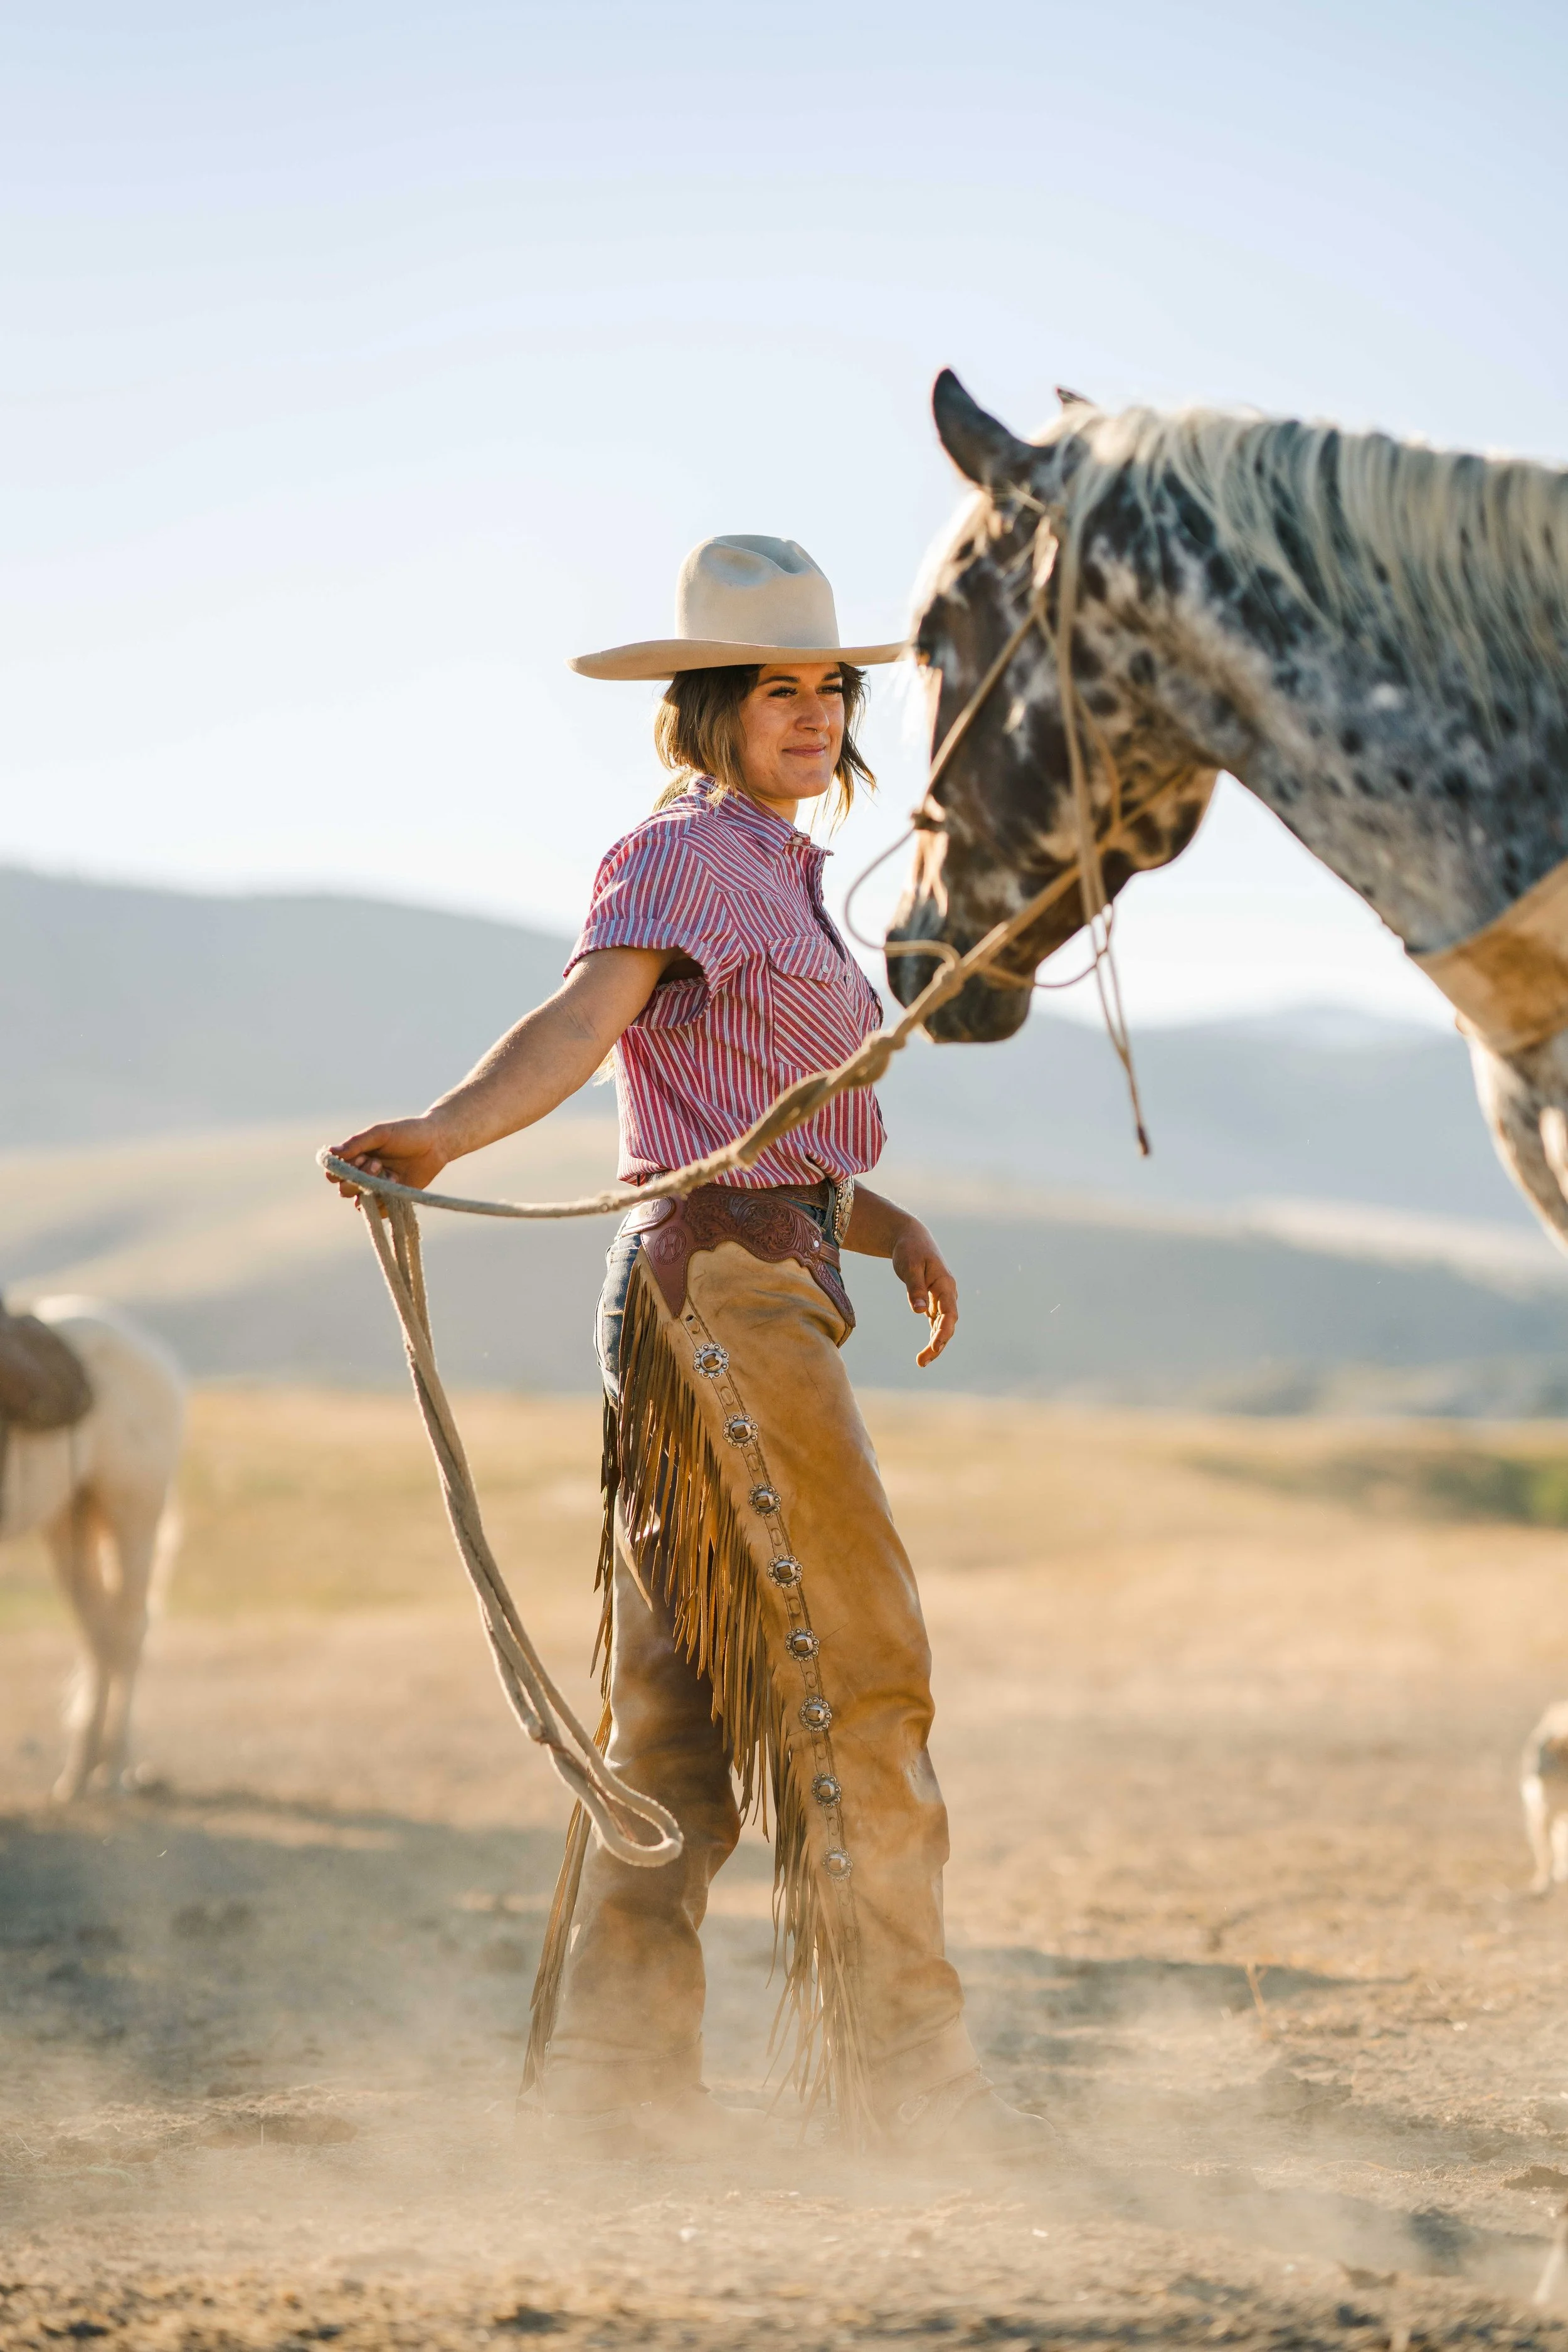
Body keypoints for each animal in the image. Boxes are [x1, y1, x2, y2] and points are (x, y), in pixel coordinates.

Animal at [0, 1298, 184, 1800]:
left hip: (133, 1511)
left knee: (126, 1632)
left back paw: (114, 1769)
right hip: (71, 1517)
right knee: (99, 1634)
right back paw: (83, 1771)